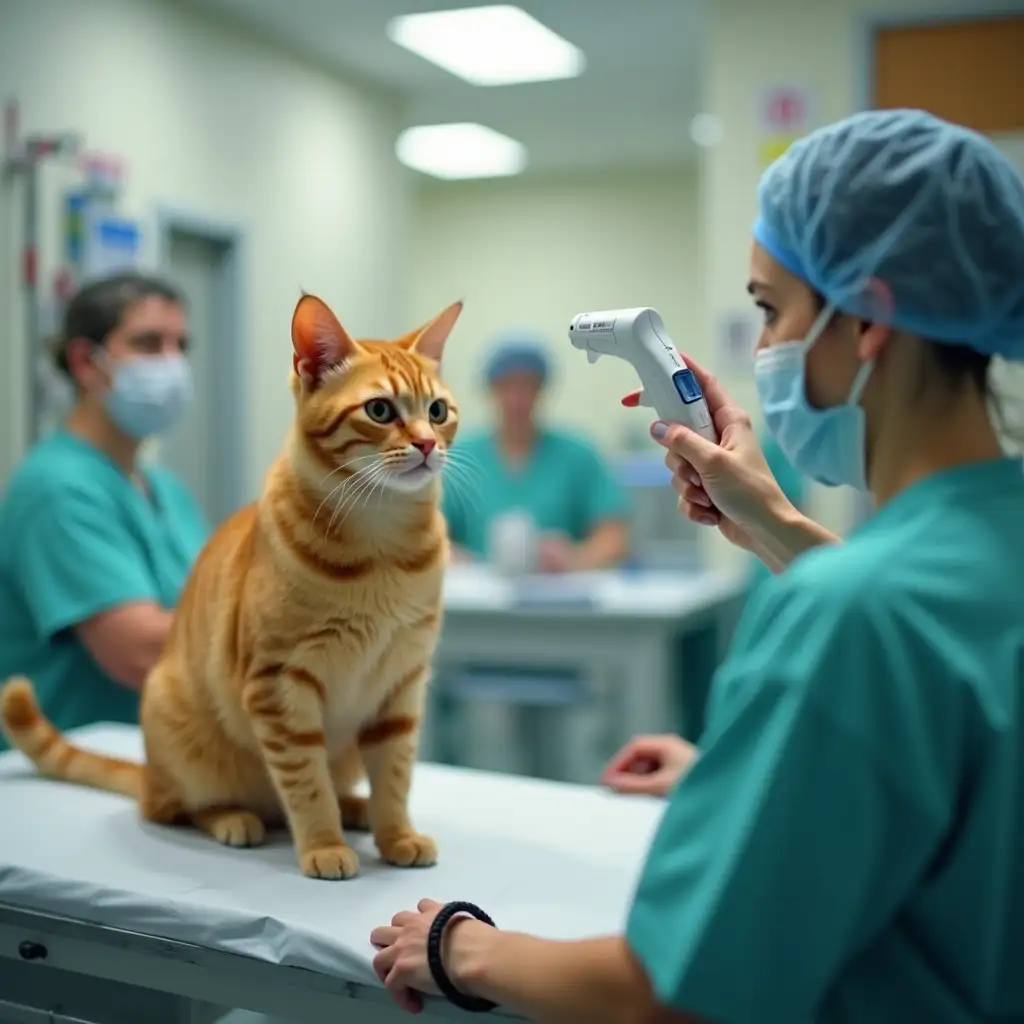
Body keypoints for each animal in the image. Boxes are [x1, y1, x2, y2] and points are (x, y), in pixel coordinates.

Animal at [0, 290, 464, 880]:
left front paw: (396, 835)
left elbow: (396, 778)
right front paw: (322, 844)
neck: (383, 546)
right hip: (180, 732)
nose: (427, 444)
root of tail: (149, 772)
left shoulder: (401, 684)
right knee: (175, 808)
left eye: (437, 411)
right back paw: (233, 818)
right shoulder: (280, 683)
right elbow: (306, 783)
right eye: (380, 410)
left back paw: (354, 808)